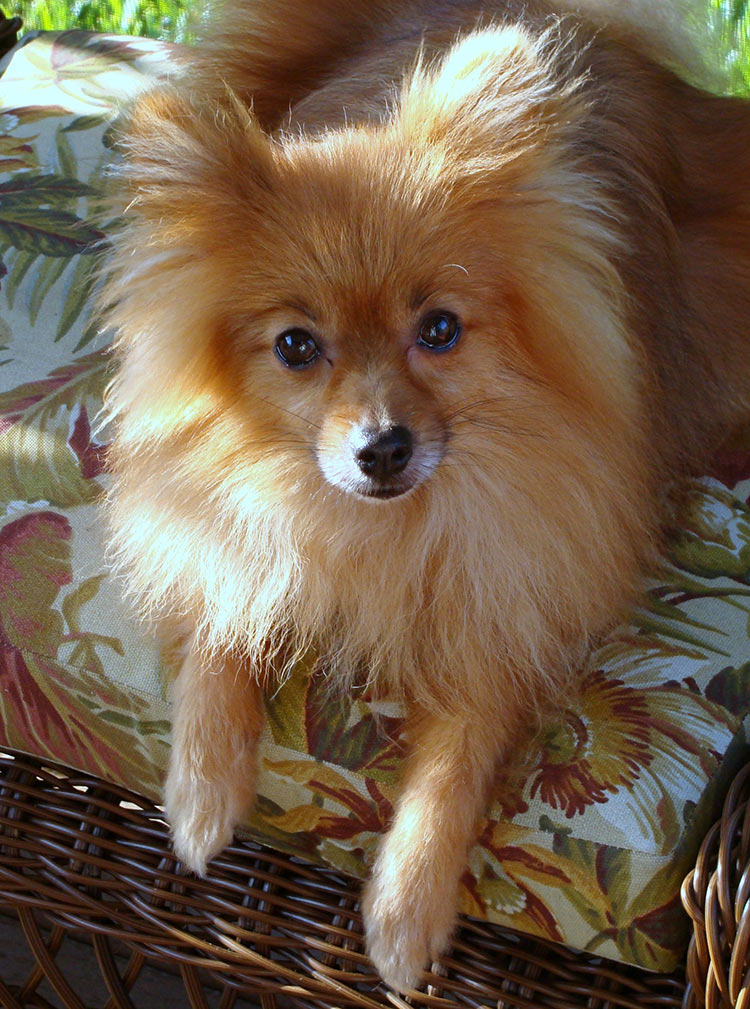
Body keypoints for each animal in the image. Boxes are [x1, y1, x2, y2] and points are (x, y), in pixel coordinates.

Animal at [101, 0, 750, 992]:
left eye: (438, 330)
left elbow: (457, 755)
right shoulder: (221, 522)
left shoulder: (513, 594)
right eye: (296, 346)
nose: (382, 447)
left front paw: (405, 907)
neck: (381, 531)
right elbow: (225, 614)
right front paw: (202, 794)